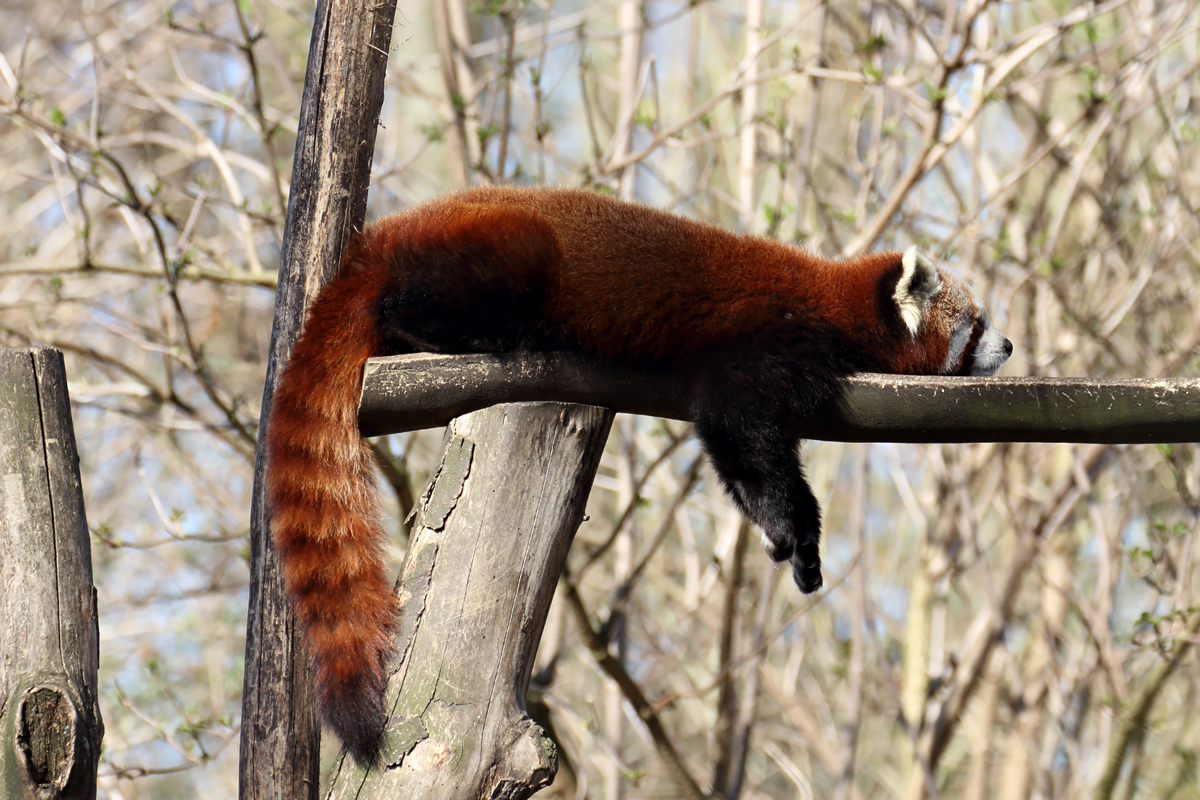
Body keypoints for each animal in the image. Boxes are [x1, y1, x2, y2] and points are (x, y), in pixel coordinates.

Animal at [265, 184, 1012, 762]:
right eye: (976, 325)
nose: (1007, 344)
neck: (834, 302)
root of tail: (377, 240)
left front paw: (788, 542)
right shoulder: (760, 338)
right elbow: (740, 430)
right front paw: (795, 532)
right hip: (504, 252)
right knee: (437, 296)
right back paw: (451, 332)